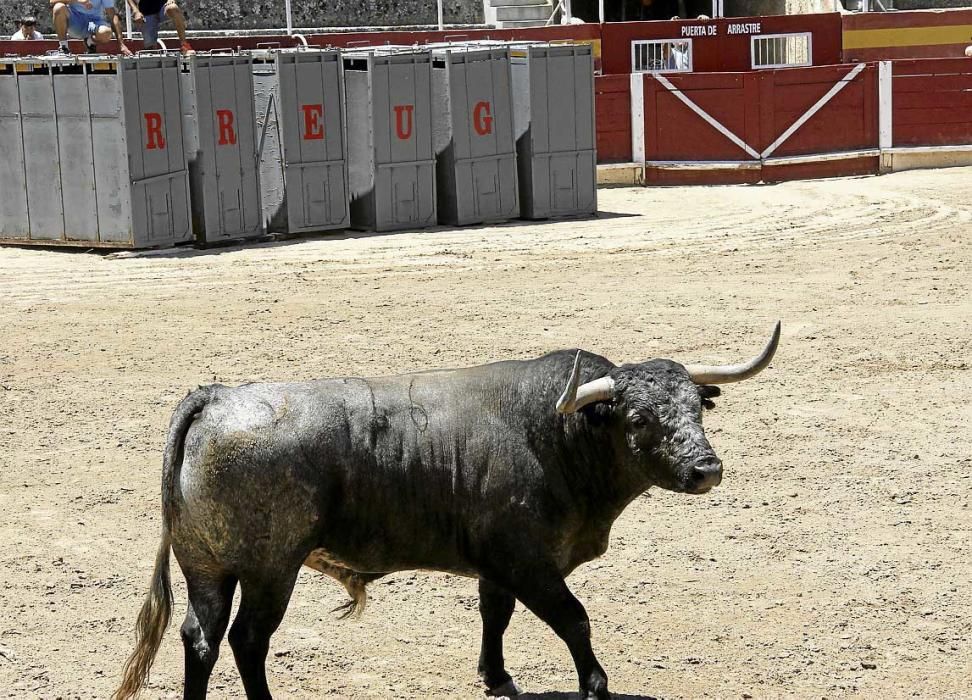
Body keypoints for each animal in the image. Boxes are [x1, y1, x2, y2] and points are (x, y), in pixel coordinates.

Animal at [116, 322, 784, 700]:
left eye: (695, 408)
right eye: (639, 418)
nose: (706, 470)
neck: (553, 433)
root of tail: (215, 396)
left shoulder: (498, 566)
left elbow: (495, 616)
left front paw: (496, 676)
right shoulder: (530, 563)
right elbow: (574, 620)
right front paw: (595, 685)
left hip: (207, 568)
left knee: (200, 639)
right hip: (270, 570)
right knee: (247, 640)